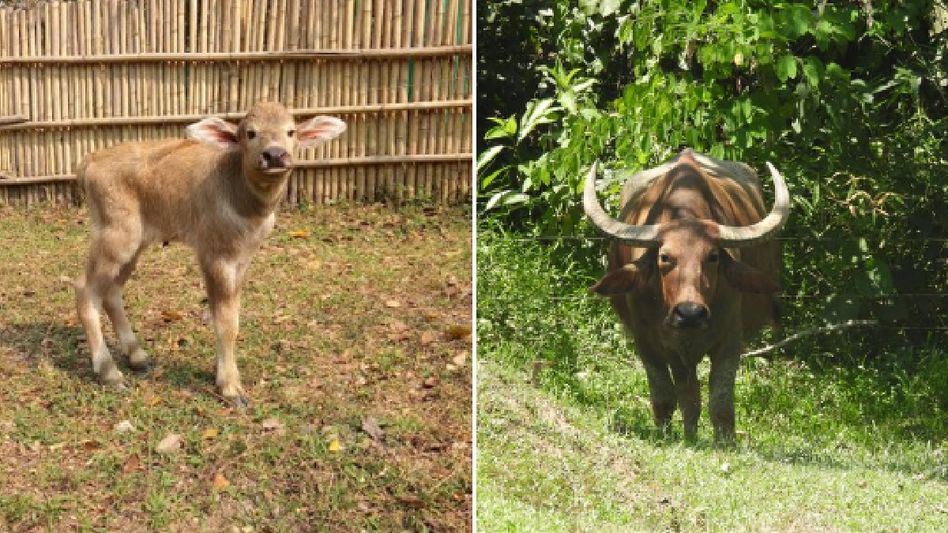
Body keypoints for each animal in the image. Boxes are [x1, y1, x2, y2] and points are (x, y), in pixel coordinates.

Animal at [74, 102, 346, 408]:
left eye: (291, 131)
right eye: (250, 133)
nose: (275, 155)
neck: (239, 195)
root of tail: (89, 162)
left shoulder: (242, 259)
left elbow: (230, 314)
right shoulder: (215, 256)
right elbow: (225, 321)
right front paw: (230, 387)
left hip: (135, 242)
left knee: (111, 292)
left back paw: (138, 357)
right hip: (114, 235)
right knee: (85, 290)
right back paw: (109, 373)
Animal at [583, 148, 790, 441]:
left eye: (712, 256)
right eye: (665, 257)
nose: (690, 313)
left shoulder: (730, 340)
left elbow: (721, 401)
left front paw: (724, 440)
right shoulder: (649, 342)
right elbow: (666, 395)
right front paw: (667, 434)